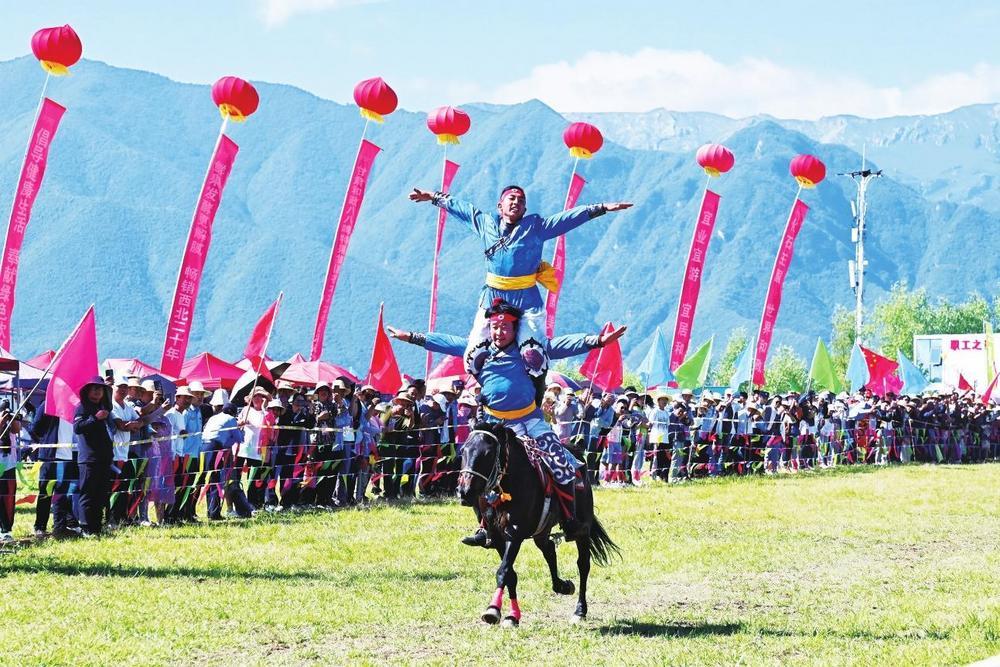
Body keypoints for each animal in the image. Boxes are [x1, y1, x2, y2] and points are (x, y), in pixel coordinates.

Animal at [458, 422, 616, 628]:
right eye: (463, 451)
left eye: (488, 454)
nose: (464, 491)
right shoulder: (498, 538)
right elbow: (510, 574)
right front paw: (512, 616)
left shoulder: (514, 534)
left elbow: (503, 571)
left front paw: (493, 609)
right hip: (542, 530)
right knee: (548, 548)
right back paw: (562, 585)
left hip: (583, 530)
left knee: (583, 564)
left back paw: (580, 611)